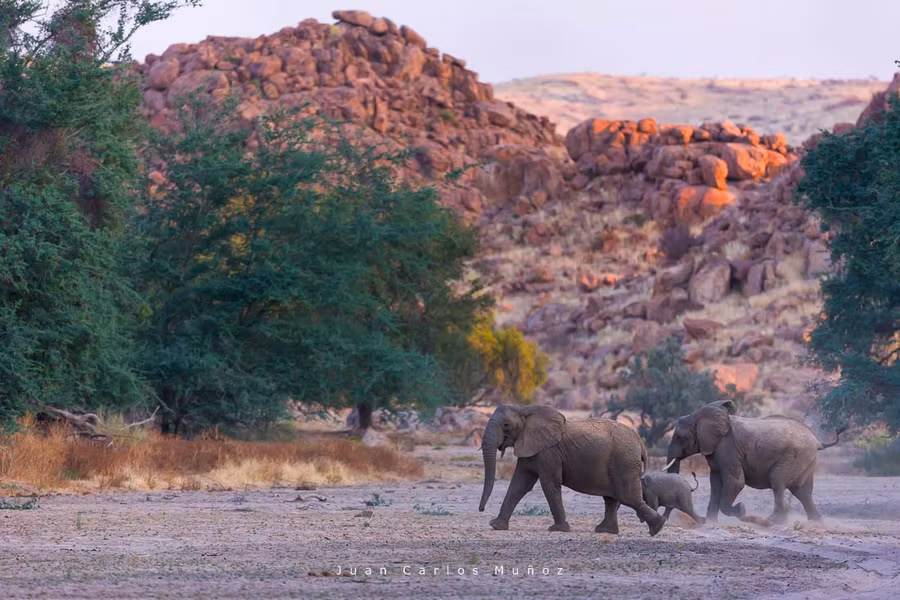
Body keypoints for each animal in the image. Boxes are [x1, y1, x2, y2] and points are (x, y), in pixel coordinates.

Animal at [478, 403, 667, 537]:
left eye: (506, 425)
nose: (481, 510)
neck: (525, 409)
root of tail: (641, 443)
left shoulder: (549, 452)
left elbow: (549, 484)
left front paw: (558, 529)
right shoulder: (530, 448)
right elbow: (520, 483)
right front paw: (496, 525)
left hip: (624, 461)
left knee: (627, 496)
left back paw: (657, 527)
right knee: (612, 498)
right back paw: (605, 531)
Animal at [665, 399, 846, 524]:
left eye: (680, 437)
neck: (700, 416)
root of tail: (818, 441)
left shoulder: (728, 449)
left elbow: (736, 482)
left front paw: (741, 510)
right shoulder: (715, 452)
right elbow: (715, 484)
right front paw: (710, 522)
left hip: (795, 456)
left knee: (778, 482)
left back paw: (773, 521)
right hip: (806, 460)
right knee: (802, 491)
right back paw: (816, 522)